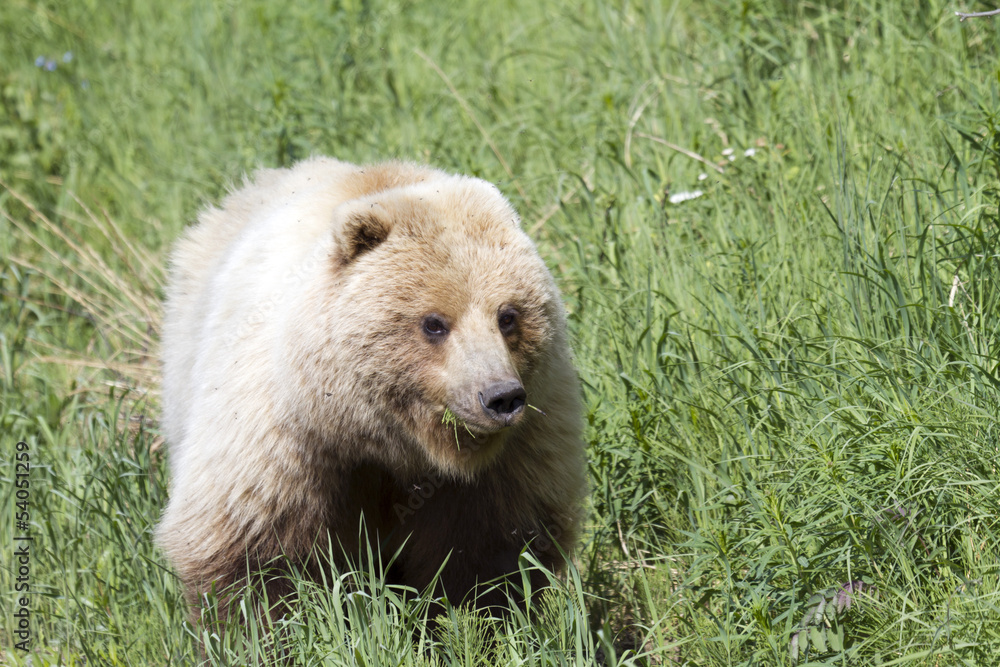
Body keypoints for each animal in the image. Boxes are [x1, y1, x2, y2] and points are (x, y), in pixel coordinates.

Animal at [157, 157, 587, 622]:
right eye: (434, 322)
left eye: (508, 316)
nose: (500, 396)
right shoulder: (283, 446)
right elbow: (252, 558)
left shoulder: (510, 459)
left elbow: (488, 554)